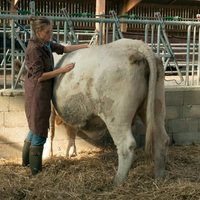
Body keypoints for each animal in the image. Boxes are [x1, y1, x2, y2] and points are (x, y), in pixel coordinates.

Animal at [51, 38, 169, 186]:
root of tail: (137, 46)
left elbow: (50, 133)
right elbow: (70, 131)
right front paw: (71, 153)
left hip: (116, 116)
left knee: (126, 146)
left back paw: (117, 181)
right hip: (156, 107)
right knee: (161, 138)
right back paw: (159, 177)